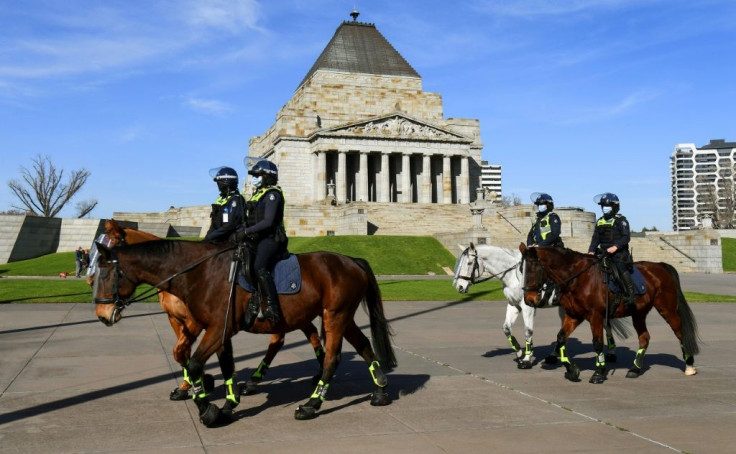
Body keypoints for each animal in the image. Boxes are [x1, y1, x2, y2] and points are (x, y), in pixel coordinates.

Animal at [87, 218, 324, 400]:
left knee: (284, 338)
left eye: (105, 265)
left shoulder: (197, 321)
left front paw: (201, 381)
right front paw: (194, 382)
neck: (183, 273)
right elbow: (181, 351)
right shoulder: (176, 319)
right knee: (306, 333)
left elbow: (181, 350)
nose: (102, 314)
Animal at [92, 239, 396, 424]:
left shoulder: (217, 328)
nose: (102, 315)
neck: (201, 273)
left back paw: (311, 404)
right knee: (364, 346)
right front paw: (228, 403)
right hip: (340, 317)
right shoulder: (220, 330)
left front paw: (208, 409)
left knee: (332, 357)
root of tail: (351, 260)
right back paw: (380, 391)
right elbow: (224, 366)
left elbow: (193, 364)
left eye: (106, 274)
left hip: (335, 316)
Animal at [452, 243, 628, 368]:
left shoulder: (528, 307)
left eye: (469, 263)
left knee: (605, 325)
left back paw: (611, 353)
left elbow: (528, 331)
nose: (459, 286)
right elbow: (506, 329)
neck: (515, 275)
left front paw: (527, 358)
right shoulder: (513, 305)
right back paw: (554, 355)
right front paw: (519, 353)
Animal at [520, 245, 700, 384]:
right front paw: (571, 370)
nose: (529, 299)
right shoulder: (573, 315)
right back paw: (635, 369)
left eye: (534, 269)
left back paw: (689, 365)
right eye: (522, 270)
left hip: (667, 309)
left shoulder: (596, 316)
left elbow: (598, 343)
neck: (579, 278)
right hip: (638, 313)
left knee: (680, 333)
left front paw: (599, 372)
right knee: (644, 338)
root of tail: (661, 266)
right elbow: (561, 338)